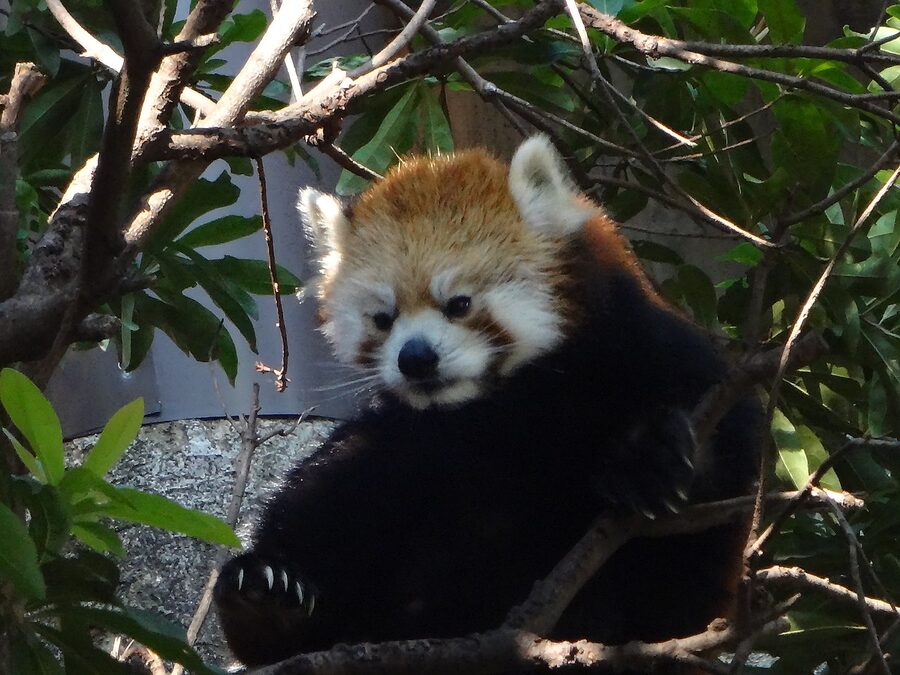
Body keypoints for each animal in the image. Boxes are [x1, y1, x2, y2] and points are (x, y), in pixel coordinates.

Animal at [213, 136, 763, 671]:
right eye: (383, 318)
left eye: (459, 304)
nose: (416, 359)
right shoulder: (426, 429)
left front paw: (650, 456)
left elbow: (726, 465)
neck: (502, 407)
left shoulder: (652, 349)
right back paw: (266, 602)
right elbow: (326, 487)